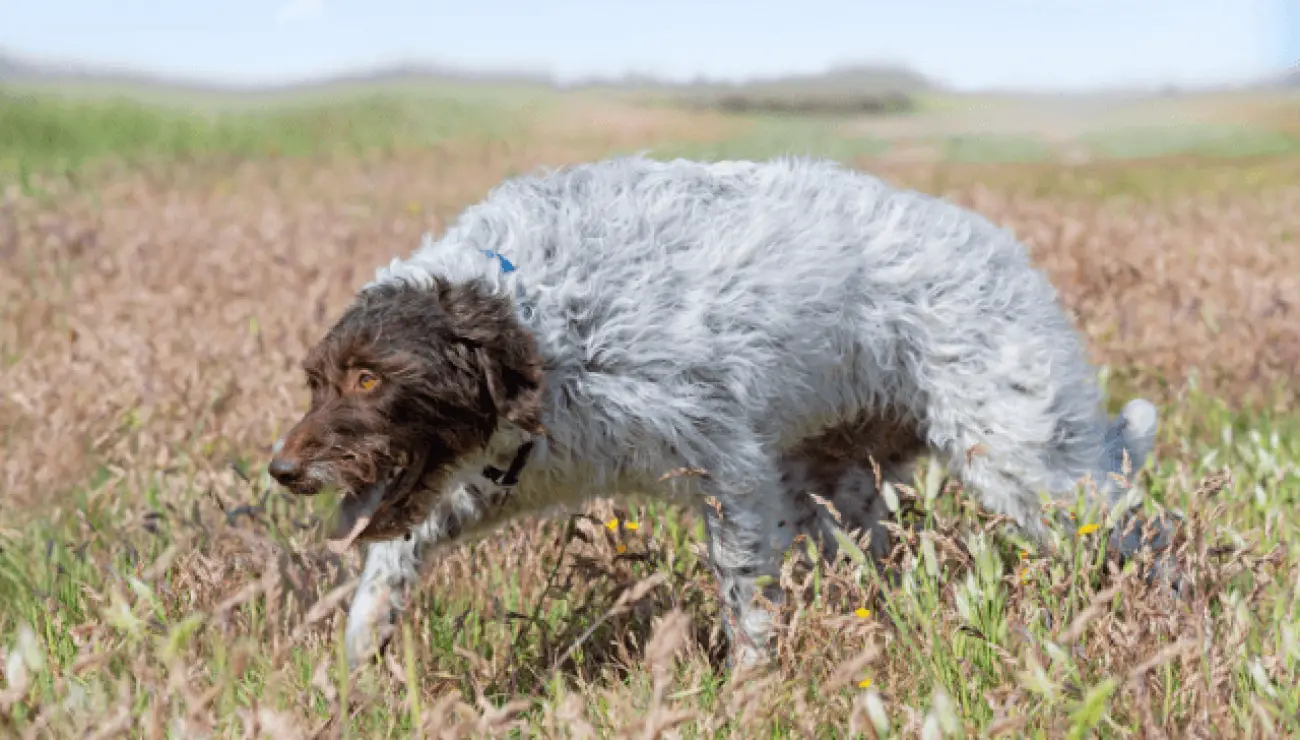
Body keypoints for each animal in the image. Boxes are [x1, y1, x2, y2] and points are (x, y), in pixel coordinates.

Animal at [269, 152, 1175, 665]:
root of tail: (1010, 253)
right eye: (318, 381)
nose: (282, 470)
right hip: (838, 495)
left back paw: (1161, 611)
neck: (545, 319)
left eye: (370, 380)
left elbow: (746, 606)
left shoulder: (728, 471)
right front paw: (357, 668)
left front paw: (748, 687)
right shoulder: (504, 476)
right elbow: (392, 562)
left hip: (1028, 459)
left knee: (1142, 526)